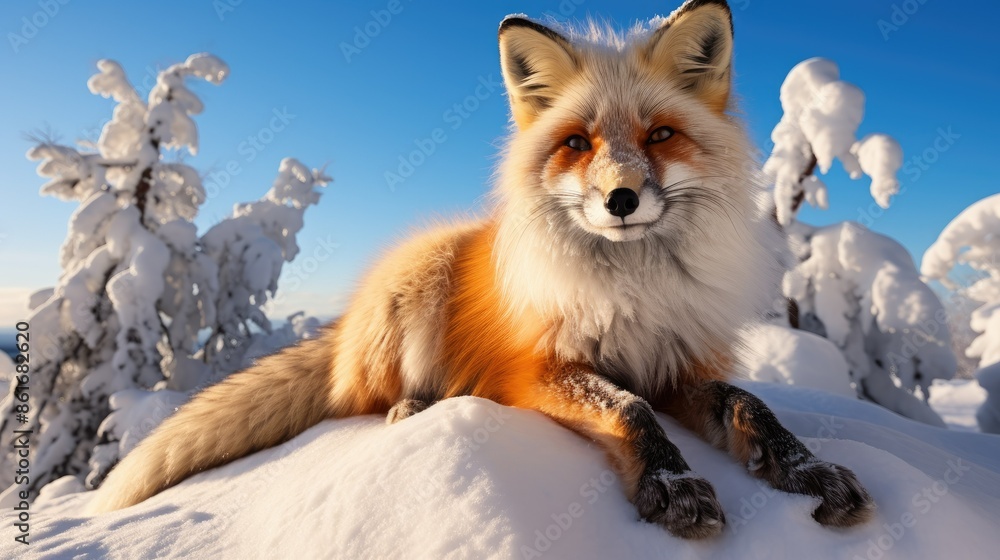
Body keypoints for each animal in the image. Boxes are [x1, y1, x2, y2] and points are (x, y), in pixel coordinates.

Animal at [89, 0, 875, 538]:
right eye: (578, 143)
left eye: (659, 135)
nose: (621, 198)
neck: (633, 288)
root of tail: (344, 325)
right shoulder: (535, 370)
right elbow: (628, 408)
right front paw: (673, 484)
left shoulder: (675, 362)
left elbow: (751, 405)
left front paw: (805, 469)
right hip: (422, 288)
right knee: (360, 399)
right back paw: (414, 408)